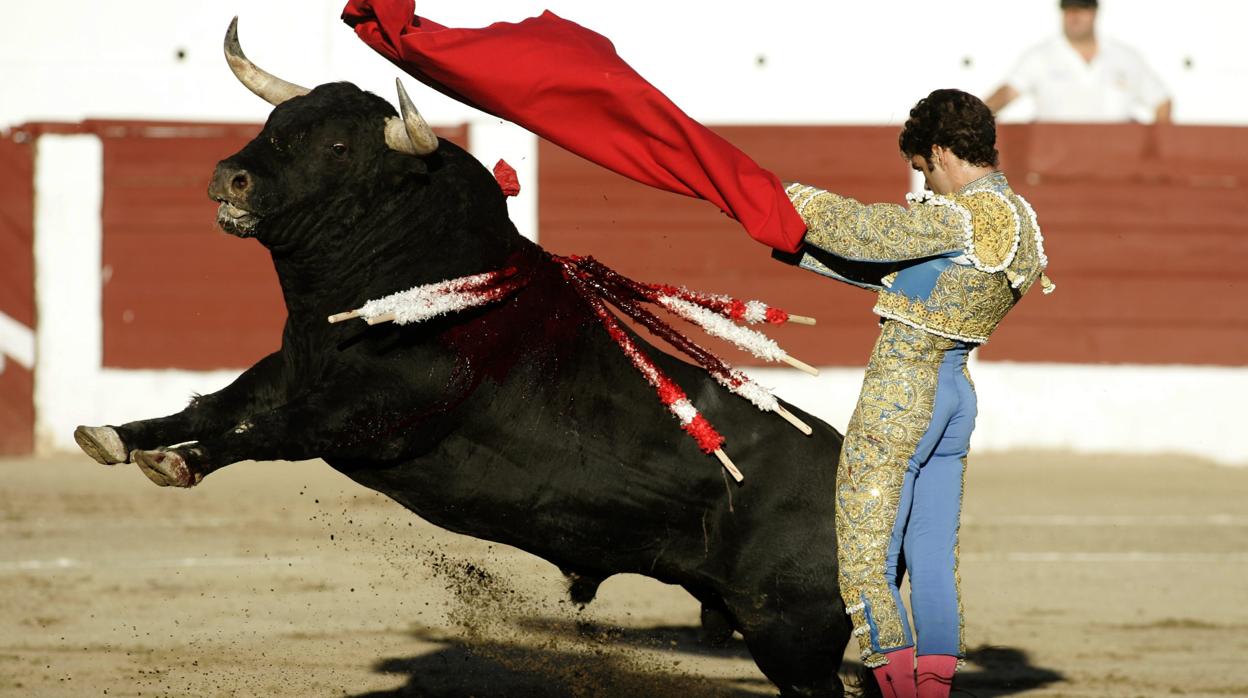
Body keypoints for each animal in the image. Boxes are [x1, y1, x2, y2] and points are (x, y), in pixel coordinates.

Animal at [73, 80, 858, 694]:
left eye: (338, 148)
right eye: (276, 123)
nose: (228, 177)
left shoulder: (369, 410)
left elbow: (266, 431)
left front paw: (177, 463)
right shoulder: (288, 372)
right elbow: (216, 405)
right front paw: (116, 437)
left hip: (792, 632)